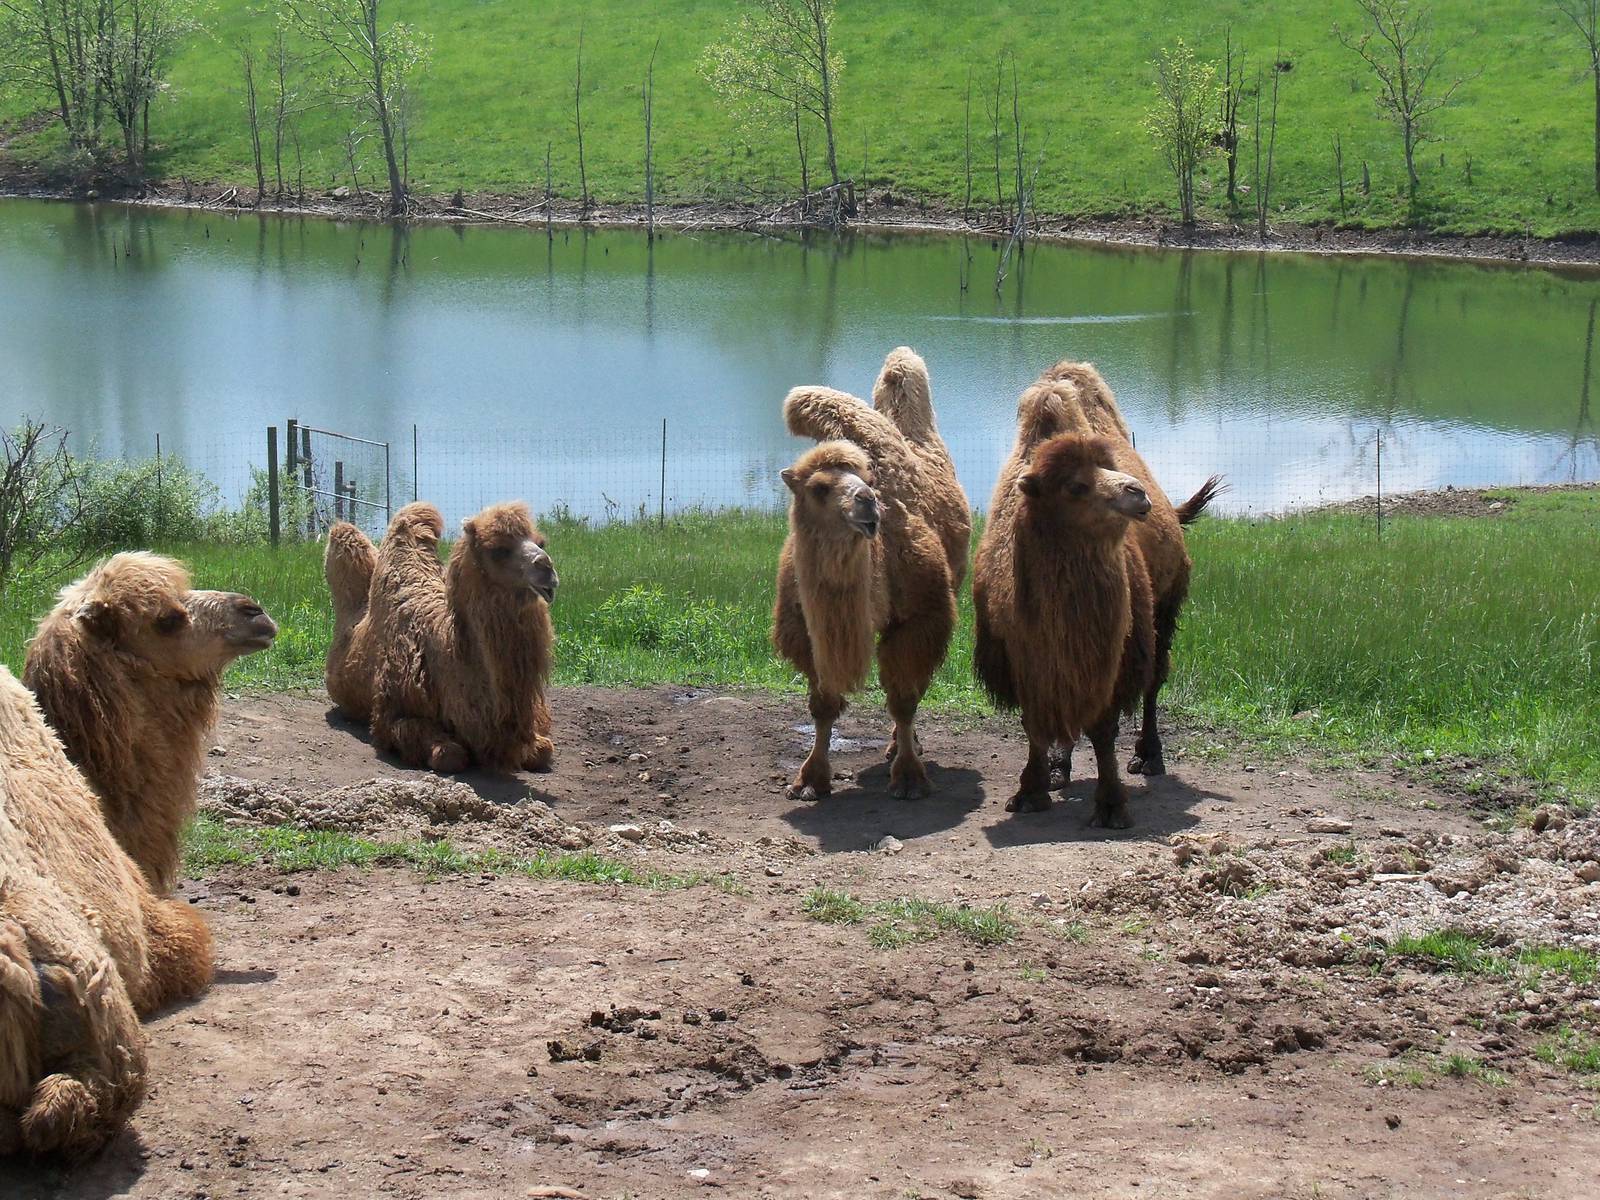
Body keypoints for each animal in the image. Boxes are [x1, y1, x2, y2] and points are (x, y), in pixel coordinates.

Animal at [323, 501, 558, 774]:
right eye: (498, 550)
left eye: (541, 543)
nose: (546, 567)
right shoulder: (390, 715)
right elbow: (448, 755)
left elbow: (544, 749)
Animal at [773, 349, 969, 801]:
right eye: (819, 488)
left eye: (868, 479)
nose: (867, 503)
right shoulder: (807, 632)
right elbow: (823, 704)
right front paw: (810, 780)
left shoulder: (920, 618)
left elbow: (903, 699)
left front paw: (910, 778)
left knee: (912, 687)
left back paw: (901, 746)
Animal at [973, 366, 1220, 825]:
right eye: (1075, 486)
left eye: (1108, 466)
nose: (1136, 492)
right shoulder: (1023, 657)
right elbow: (1035, 723)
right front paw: (1031, 790)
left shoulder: (1116, 653)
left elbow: (1104, 728)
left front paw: (1110, 806)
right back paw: (1060, 768)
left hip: (1165, 610)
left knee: (1155, 680)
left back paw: (1149, 757)